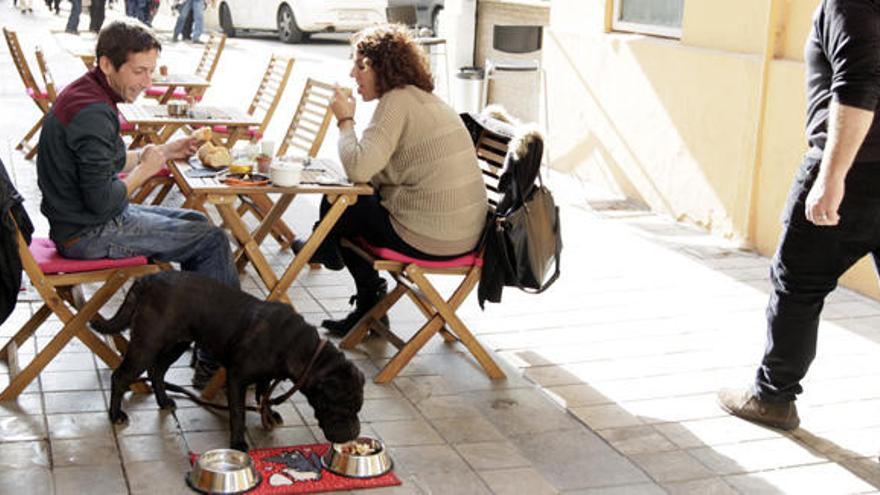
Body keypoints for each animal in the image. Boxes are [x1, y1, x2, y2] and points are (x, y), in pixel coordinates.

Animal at [96, 272, 368, 454]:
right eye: (341, 406)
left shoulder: (266, 376)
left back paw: (163, 401)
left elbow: (264, 396)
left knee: (157, 370)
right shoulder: (237, 377)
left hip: (177, 342)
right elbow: (238, 414)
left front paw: (269, 414)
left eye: (358, 407)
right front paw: (238, 443)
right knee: (121, 376)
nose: (355, 433)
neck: (299, 347)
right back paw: (115, 414)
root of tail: (149, 278)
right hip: (147, 344)